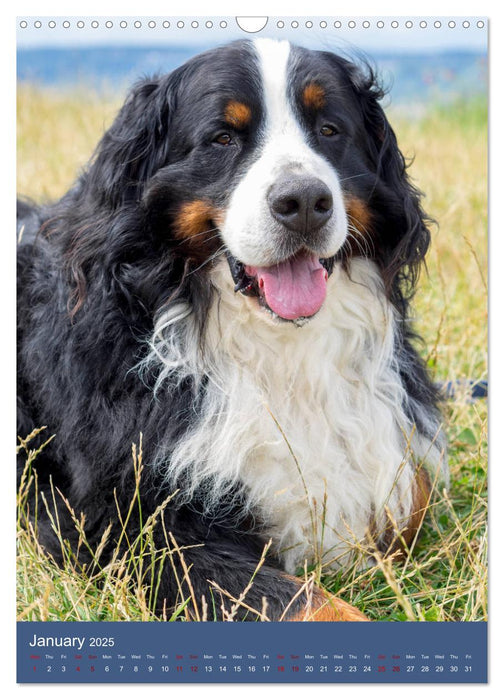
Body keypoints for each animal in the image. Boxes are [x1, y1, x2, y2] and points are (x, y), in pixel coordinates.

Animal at [17, 38, 446, 620]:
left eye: (329, 130)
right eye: (223, 137)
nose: (304, 202)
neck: (279, 352)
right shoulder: (122, 529)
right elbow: (308, 603)